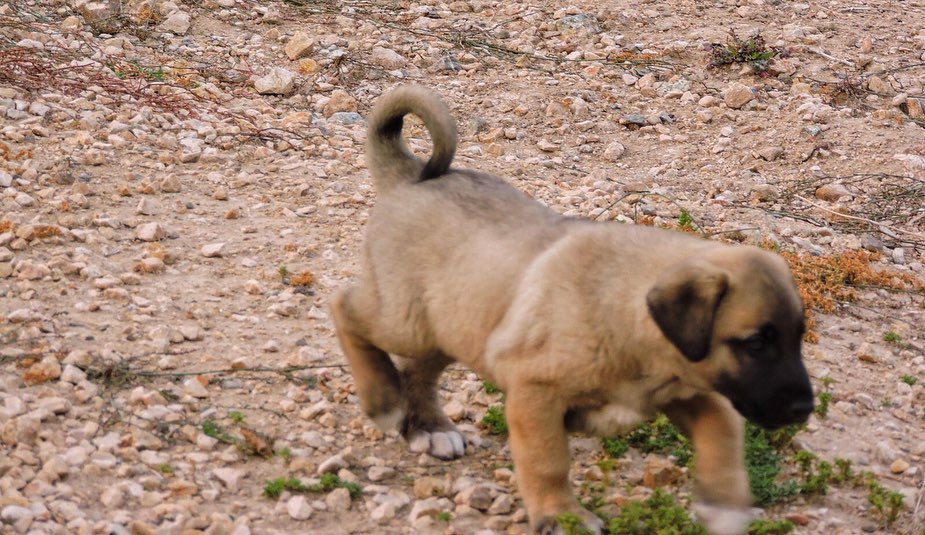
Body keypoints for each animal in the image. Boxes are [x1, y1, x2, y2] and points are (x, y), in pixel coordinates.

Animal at [330, 87, 808, 535]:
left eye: (798, 338)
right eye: (755, 343)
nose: (804, 409)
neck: (621, 306)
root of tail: (411, 176)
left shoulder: (686, 389)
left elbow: (722, 427)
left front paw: (724, 504)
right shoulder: (535, 392)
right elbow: (548, 462)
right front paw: (562, 516)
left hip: (454, 322)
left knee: (418, 369)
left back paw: (429, 428)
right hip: (406, 320)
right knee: (345, 307)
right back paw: (382, 398)